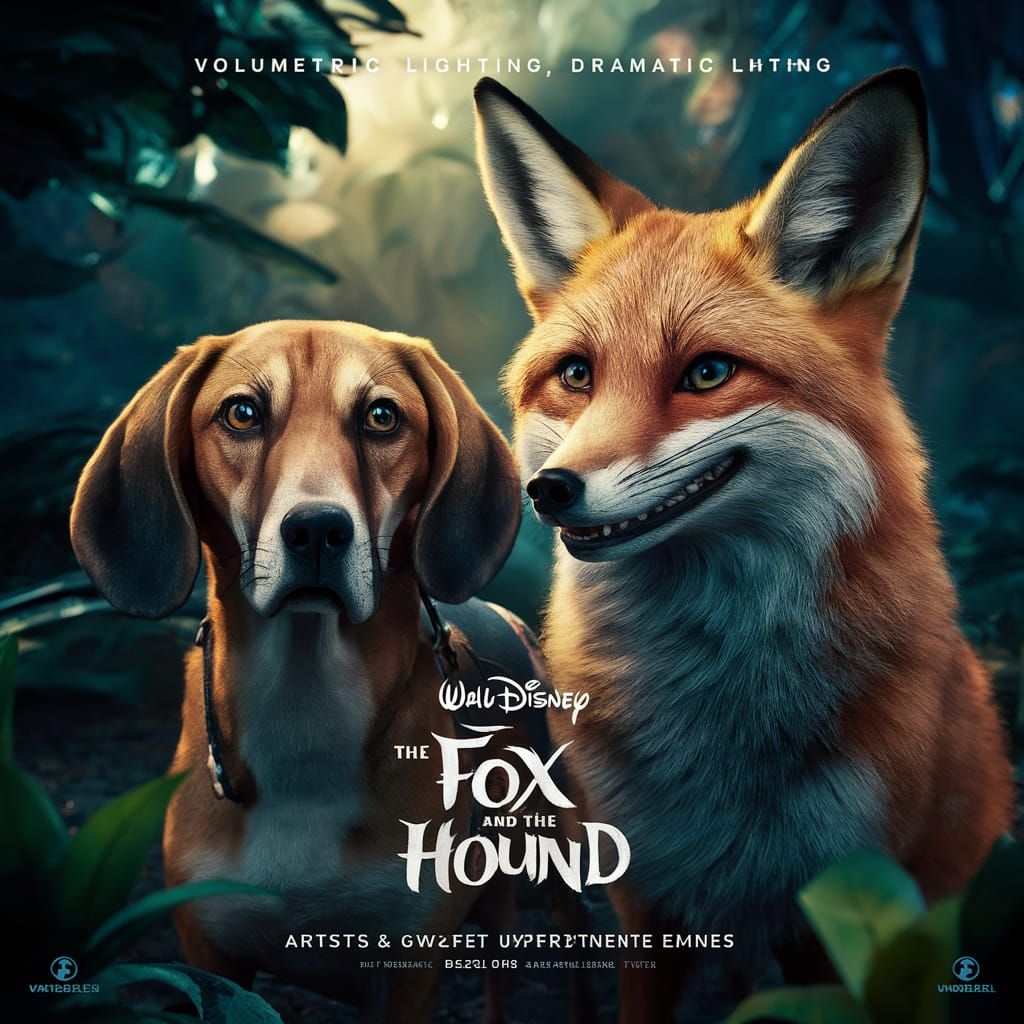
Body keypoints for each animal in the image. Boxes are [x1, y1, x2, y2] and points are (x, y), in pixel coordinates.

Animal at [473, 69, 1015, 1018]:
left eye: (708, 373)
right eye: (577, 375)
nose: (550, 491)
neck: (718, 723)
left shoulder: (837, 901)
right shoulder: (644, 893)